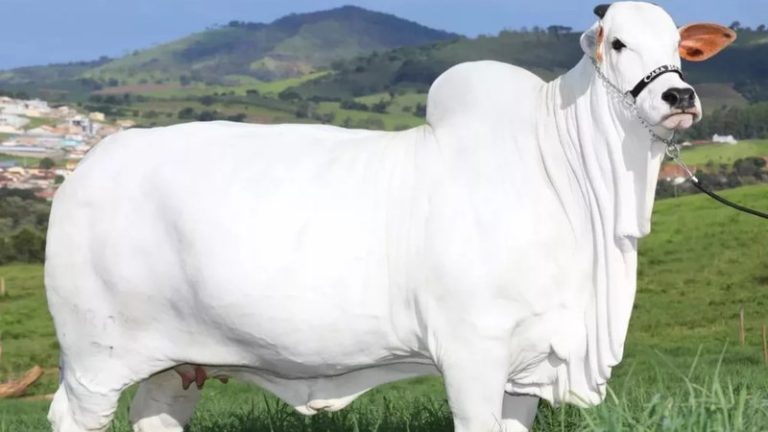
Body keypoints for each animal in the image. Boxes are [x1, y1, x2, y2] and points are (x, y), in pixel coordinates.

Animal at [45, 2, 735, 431]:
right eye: (618, 42)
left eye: (680, 48)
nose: (679, 96)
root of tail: (88, 166)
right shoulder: (472, 352)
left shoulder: (527, 367)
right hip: (95, 359)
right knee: (71, 416)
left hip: (177, 363)